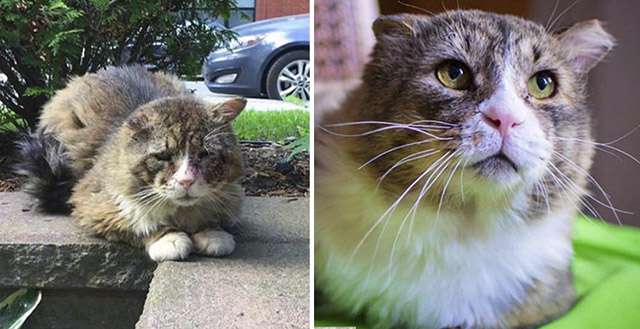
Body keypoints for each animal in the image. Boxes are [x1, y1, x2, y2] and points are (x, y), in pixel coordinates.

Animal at [16, 65, 248, 260]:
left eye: (204, 155)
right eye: (163, 157)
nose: (186, 181)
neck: (182, 213)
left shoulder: (232, 195)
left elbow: (213, 217)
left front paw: (213, 233)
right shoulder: (91, 204)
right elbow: (138, 223)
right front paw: (169, 239)